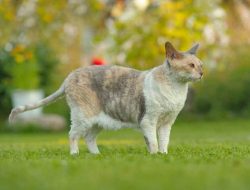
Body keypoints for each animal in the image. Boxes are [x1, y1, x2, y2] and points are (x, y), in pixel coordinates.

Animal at [8, 41, 203, 154]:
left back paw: (97, 156)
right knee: (73, 135)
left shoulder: (166, 123)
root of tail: (70, 75)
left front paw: (163, 156)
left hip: (97, 121)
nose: (202, 73)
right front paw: (155, 157)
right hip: (83, 117)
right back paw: (75, 155)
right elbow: (153, 143)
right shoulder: (148, 120)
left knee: (88, 138)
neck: (176, 90)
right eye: (191, 65)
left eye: (200, 65)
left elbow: (163, 142)